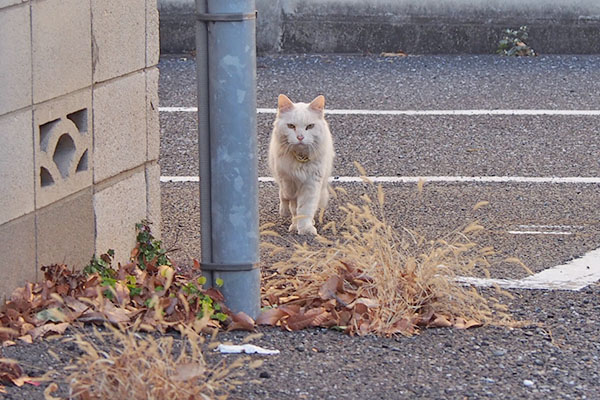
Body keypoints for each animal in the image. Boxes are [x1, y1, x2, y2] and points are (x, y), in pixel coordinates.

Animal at [270, 94, 336, 234]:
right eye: (291, 126)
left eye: (310, 126)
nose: (300, 137)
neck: (300, 157)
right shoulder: (287, 178)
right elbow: (290, 198)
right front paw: (297, 225)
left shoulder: (311, 183)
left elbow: (305, 208)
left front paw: (306, 229)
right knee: (284, 198)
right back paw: (285, 213)